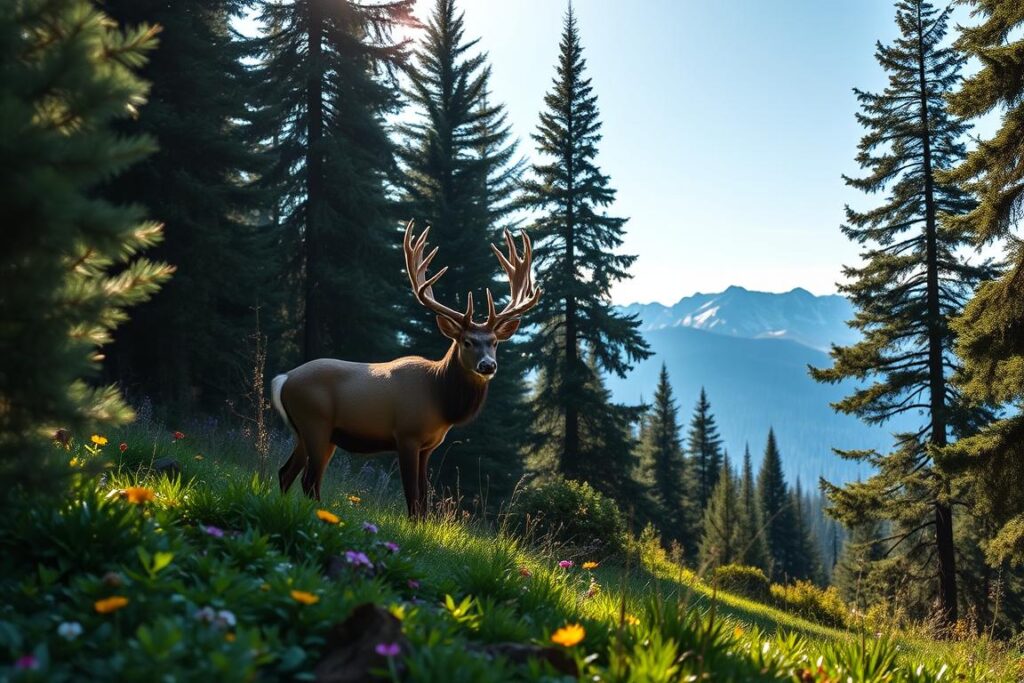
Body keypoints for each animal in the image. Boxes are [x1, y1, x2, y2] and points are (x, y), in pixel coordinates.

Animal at [272, 222, 544, 516]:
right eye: (466, 341)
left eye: (494, 342)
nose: (488, 365)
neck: (439, 396)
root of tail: (283, 379)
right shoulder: (407, 435)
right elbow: (412, 497)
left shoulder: (428, 446)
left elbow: (424, 499)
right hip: (315, 422)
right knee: (309, 480)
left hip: (309, 431)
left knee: (286, 473)